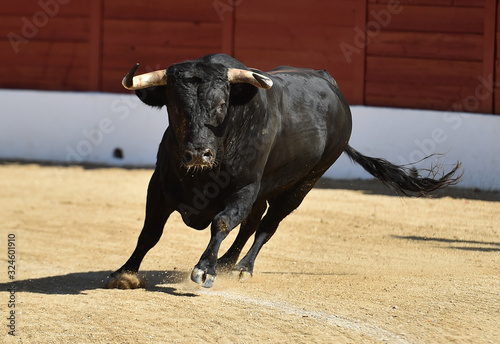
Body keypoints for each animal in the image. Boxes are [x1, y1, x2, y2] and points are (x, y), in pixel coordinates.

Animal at [106, 54, 460, 290]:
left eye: (221, 106)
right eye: (175, 106)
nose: (197, 153)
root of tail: (332, 86)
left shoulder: (244, 188)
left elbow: (221, 222)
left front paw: (205, 269)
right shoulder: (159, 185)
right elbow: (150, 231)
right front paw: (126, 272)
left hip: (303, 184)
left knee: (267, 224)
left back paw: (242, 268)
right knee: (252, 222)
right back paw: (228, 262)